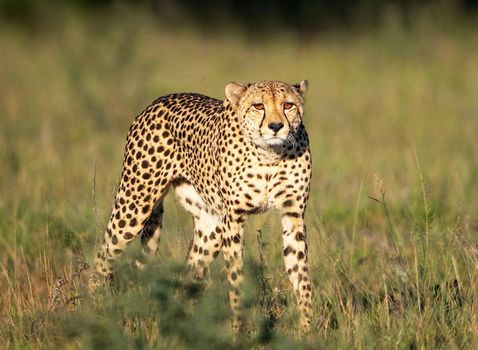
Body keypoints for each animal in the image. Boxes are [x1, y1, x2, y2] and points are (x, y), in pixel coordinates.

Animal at [93, 79, 314, 330]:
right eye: (258, 105)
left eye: (288, 105)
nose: (276, 126)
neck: (270, 155)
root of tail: (161, 100)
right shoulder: (234, 218)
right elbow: (236, 278)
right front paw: (239, 329)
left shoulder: (293, 215)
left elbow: (301, 276)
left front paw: (307, 328)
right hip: (135, 204)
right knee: (103, 256)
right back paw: (96, 307)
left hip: (211, 228)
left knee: (187, 274)